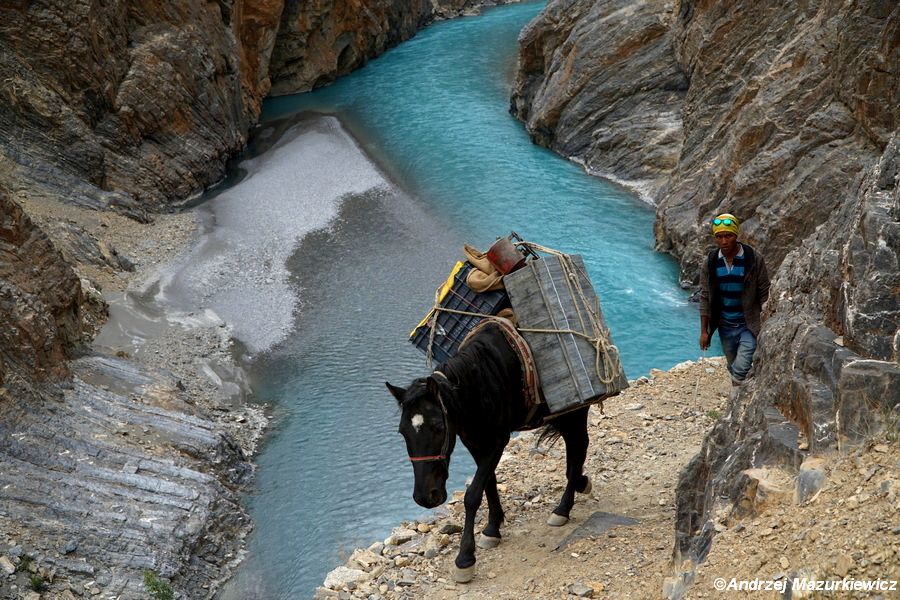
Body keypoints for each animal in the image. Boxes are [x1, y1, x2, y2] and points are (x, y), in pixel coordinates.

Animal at [384, 324, 592, 580]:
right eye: (402, 432)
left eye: (438, 427)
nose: (425, 497)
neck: (478, 382)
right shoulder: (474, 442)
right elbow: (489, 484)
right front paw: (492, 529)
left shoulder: (497, 441)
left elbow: (473, 494)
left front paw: (465, 558)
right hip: (561, 416)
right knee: (574, 451)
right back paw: (581, 484)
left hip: (575, 410)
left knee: (579, 446)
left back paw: (563, 509)